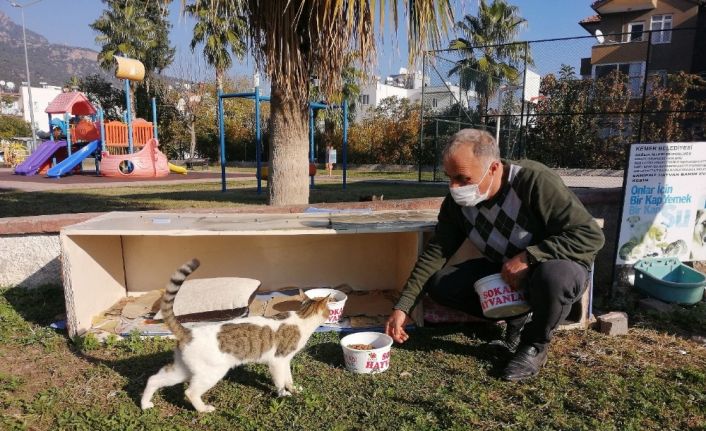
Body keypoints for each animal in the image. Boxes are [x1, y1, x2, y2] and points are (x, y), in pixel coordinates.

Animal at [143, 258, 332, 414]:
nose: (331, 313)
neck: (303, 317)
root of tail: (188, 332)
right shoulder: (278, 361)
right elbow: (280, 381)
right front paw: (283, 394)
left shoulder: (286, 361)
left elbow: (289, 379)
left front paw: (293, 390)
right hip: (212, 372)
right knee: (190, 392)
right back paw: (204, 409)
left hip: (183, 370)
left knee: (154, 379)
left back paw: (145, 404)